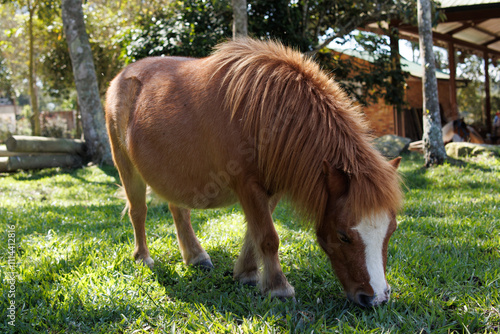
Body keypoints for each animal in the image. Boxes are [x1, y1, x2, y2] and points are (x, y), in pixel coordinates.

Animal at [105, 37, 402, 306]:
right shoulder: (247, 184)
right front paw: (279, 288)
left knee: (179, 211)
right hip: (126, 167)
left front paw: (247, 274)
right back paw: (143, 257)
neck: (265, 114)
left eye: (391, 231)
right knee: (138, 211)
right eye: (343, 235)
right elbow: (268, 237)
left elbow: (256, 231)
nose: (376, 299)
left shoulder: (272, 186)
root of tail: (120, 77)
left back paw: (196, 256)